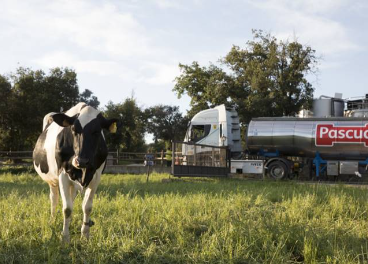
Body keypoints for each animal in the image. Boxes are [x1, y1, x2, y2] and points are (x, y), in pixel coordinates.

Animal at [33, 102, 118, 242]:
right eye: (73, 130)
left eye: (97, 132)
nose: (82, 161)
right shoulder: (62, 175)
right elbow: (67, 209)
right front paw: (65, 237)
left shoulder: (96, 177)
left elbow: (87, 207)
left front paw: (85, 235)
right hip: (52, 181)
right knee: (54, 199)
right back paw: (52, 221)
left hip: (72, 184)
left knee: (71, 198)